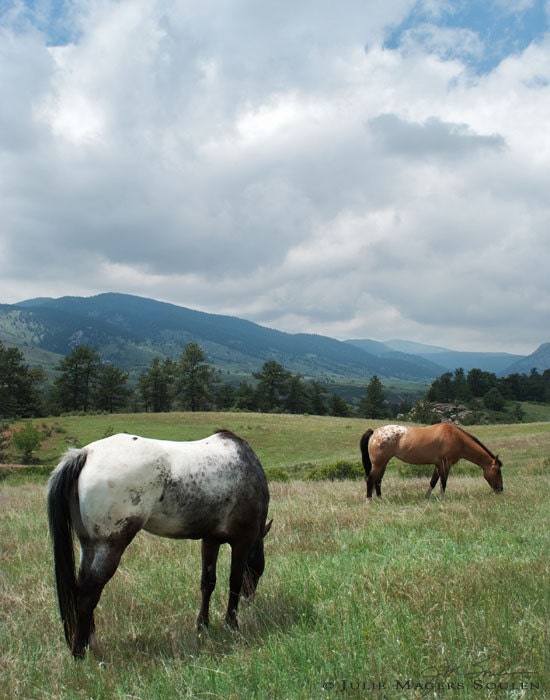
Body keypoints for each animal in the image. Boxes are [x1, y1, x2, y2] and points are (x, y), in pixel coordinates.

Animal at [47, 429, 272, 659]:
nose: (250, 599)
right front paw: (232, 624)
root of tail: (86, 453)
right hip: (110, 546)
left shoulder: (211, 540)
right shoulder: (242, 541)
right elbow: (234, 581)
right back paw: (79, 652)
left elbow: (207, 583)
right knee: (88, 593)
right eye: (258, 571)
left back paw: (90, 643)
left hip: (89, 545)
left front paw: (202, 626)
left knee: (81, 586)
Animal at [360, 422, 503, 504]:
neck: (457, 438)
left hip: (383, 464)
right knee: (370, 480)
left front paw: (426, 499)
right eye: (498, 471)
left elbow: (433, 482)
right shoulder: (445, 464)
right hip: (379, 464)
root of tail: (375, 431)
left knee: (378, 481)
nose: (500, 489)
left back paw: (380, 500)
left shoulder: (438, 465)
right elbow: (443, 482)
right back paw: (369, 501)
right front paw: (442, 500)